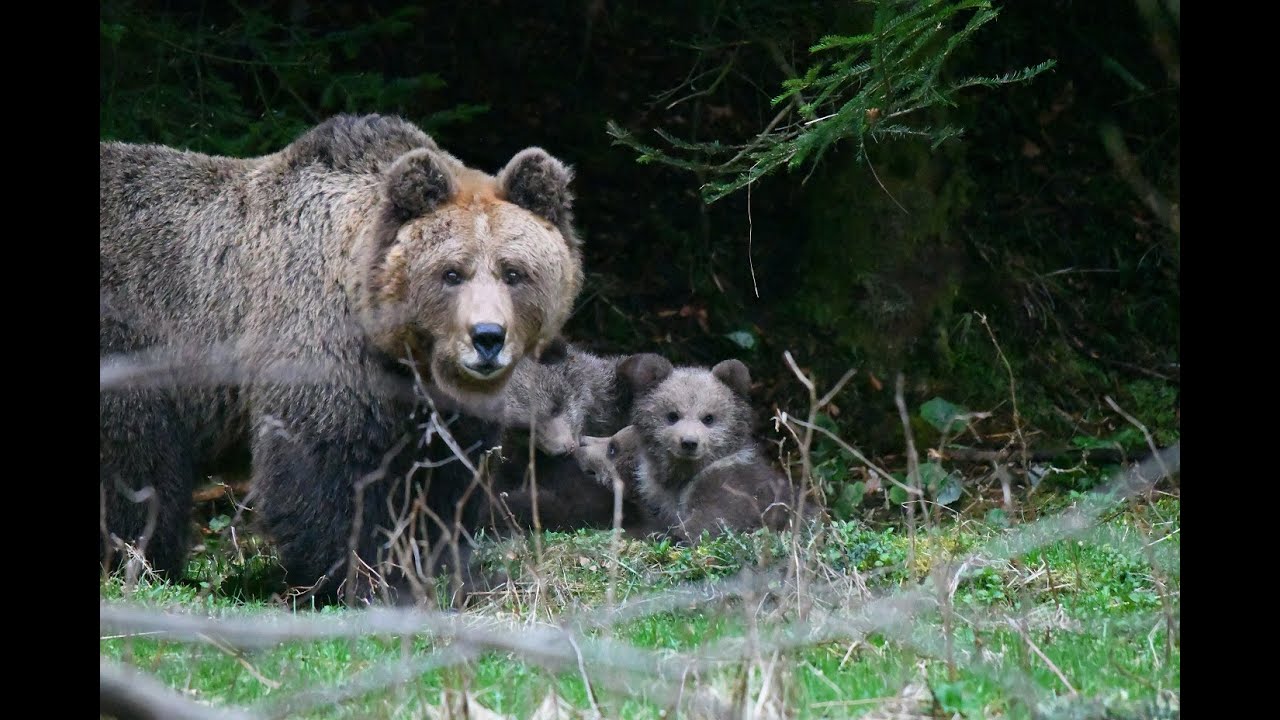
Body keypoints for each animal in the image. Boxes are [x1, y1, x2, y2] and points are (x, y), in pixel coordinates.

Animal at [99, 113, 584, 605]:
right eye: (451, 273)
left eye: (513, 272)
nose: (487, 338)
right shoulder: (320, 347)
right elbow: (325, 469)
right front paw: (355, 577)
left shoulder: (436, 410)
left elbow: (439, 483)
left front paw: (437, 569)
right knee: (138, 466)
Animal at [617, 354, 812, 543]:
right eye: (672, 415)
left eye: (708, 418)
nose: (689, 442)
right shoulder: (655, 495)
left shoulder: (736, 487)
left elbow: (716, 519)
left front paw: (673, 536)